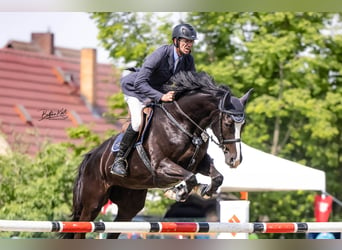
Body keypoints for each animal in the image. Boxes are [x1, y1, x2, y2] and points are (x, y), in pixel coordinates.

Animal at [62, 71, 252, 238]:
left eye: (243, 125)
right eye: (228, 123)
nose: (235, 160)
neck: (183, 123)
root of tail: (90, 157)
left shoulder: (198, 163)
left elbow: (216, 177)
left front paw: (204, 189)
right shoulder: (160, 165)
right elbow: (190, 178)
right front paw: (178, 193)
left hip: (129, 204)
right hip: (93, 201)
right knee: (81, 227)